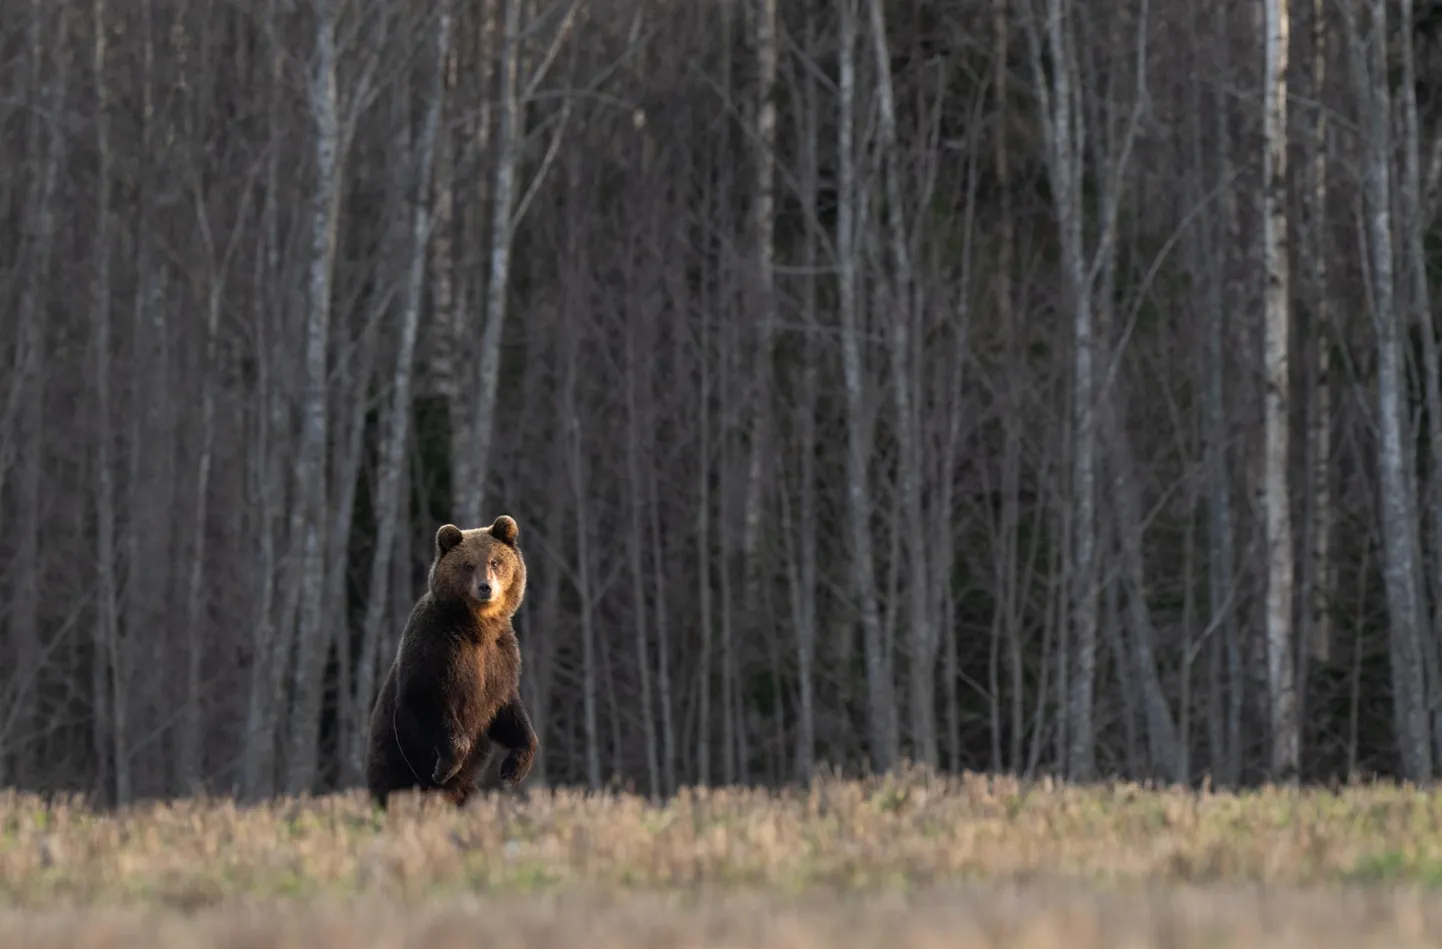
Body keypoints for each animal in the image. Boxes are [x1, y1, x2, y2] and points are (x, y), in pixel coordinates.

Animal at [363, 510, 539, 807]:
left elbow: (509, 711)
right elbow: (428, 699)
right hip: (392, 760)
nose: (485, 587)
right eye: (468, 565)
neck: (477, 626)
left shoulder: (500, 659)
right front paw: (444, 768)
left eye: (495, 561)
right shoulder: (436, 650)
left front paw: (512, 769)